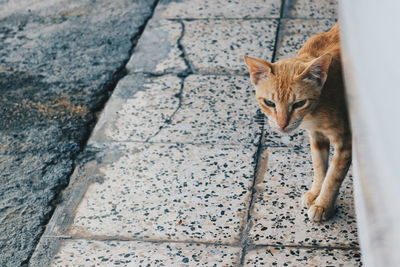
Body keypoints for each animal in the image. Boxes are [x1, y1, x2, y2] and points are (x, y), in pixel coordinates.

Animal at [244, 23, 350, 222]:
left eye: (299, 103)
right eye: (269, 103)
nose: (282, 124)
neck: (315, 112)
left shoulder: (345, 142)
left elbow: (333, 176)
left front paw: (323, 205)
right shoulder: (316, 137)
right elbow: (319, 166)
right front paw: (315, 193)